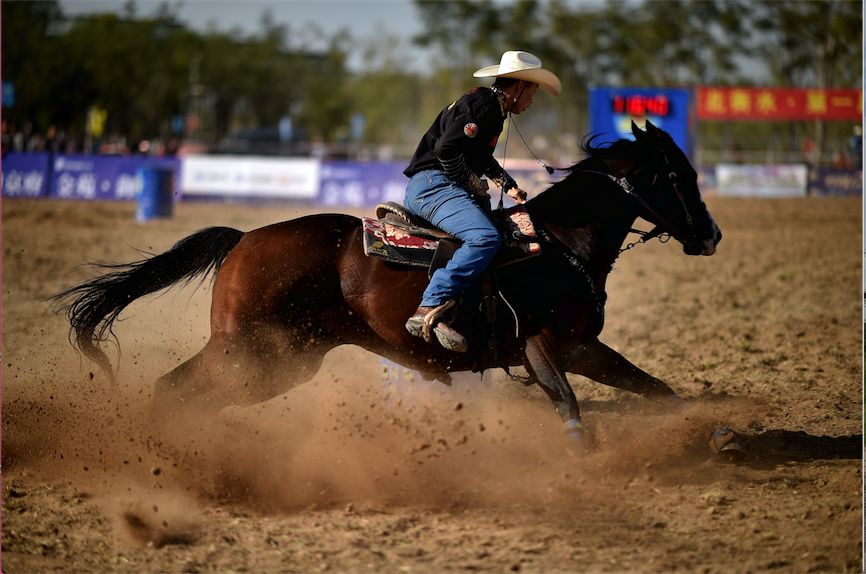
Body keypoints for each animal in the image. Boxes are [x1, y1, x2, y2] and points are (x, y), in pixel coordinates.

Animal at [52, 119, 724, 448]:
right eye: (678, 174)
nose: (712, 235)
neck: (555, 244)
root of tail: (244, 239)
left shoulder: (581, 347)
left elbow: (658, 389)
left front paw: (715, 433)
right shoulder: (543, 346)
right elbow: (569, 402)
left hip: (281, 362)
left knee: (189, 393)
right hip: (247, 350)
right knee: (172, 388)